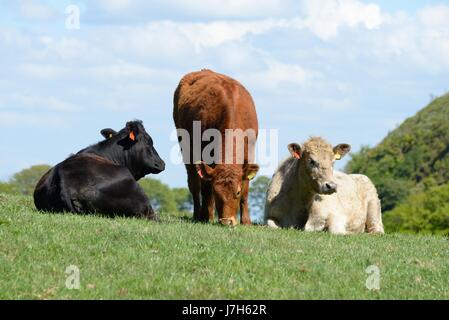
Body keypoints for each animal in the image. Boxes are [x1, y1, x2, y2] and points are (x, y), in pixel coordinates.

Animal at [174, 69, 260, 225]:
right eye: (217, 192)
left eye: (237, 192)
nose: (226, 222)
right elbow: (206, 189)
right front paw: (206, 217)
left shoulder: (249, 155)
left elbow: (246, 190)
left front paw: (246, 221)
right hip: (185, 146)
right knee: (195, 185)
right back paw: (198, 214)